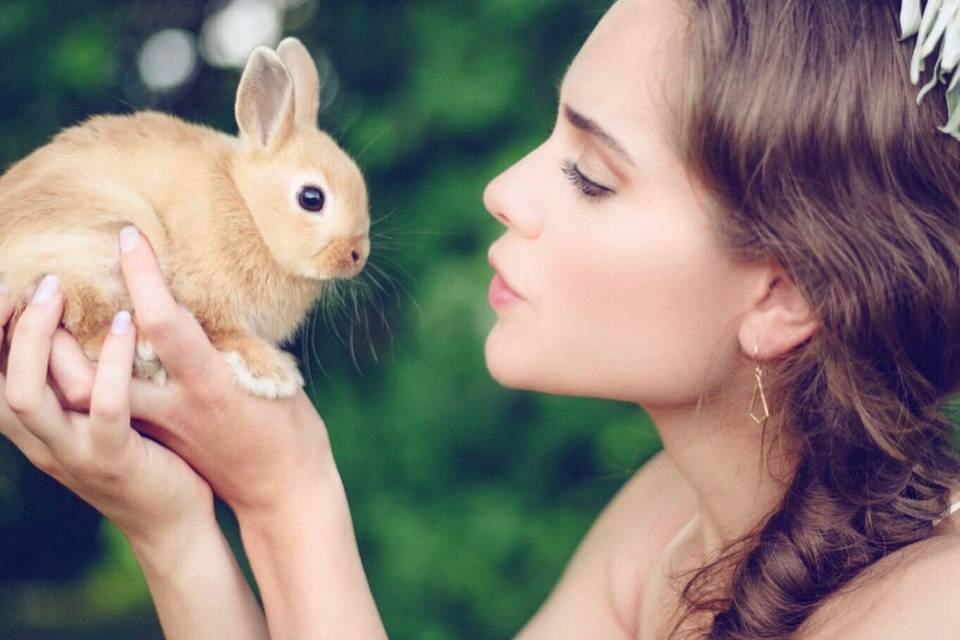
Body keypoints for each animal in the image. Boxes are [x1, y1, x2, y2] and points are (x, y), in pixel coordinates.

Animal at [0, 37, 372, 398]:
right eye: (311, 198)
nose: (357, 255)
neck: (248, 205)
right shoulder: (208, 299)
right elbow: (226, 333)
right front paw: (272, 374)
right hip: (90, 248)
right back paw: (143, 353)